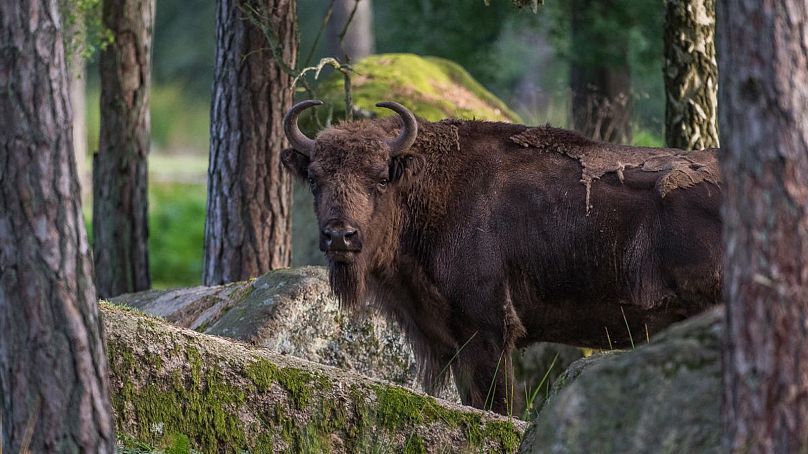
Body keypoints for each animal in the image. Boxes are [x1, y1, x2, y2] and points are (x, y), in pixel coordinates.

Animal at [280, 100, 720, 414]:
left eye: (381, 177)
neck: (431, 187)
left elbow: (498, 405)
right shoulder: (457, 341)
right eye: (314, 178)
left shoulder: (489, 332)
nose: (340, 235)